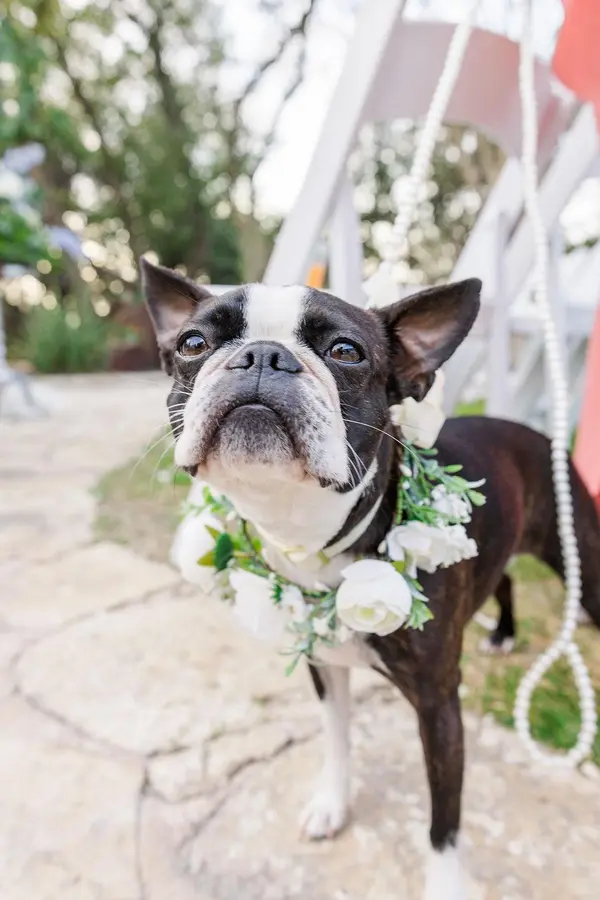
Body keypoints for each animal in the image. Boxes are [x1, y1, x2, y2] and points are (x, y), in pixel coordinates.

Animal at [141, 258, 600, 899]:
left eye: (346, 351)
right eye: (192, 343)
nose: (262, 355)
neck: (312, 533)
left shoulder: (439, 705)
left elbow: (444, 817)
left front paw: (445, 886)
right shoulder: (324, 668)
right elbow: (337, 741)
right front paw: (332, 804)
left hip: (581, 551)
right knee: (504, 579)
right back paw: (503, 632)